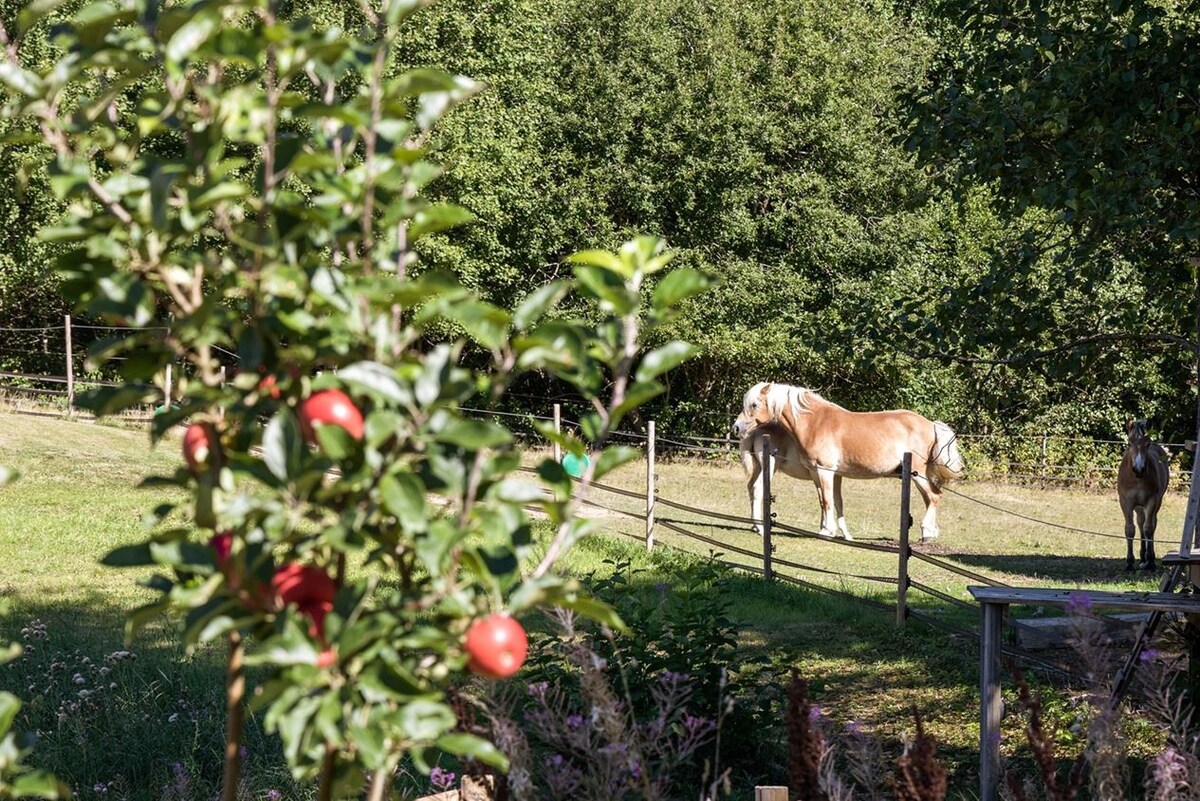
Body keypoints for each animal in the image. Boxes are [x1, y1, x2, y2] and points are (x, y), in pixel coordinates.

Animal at [729, 381, 964, 537]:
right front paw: (828, 529)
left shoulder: (825, 471)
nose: (736, 428)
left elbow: (828, 501)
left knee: (934, 496)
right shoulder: (819, 473)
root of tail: (931, 424)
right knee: (931, 497)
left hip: (918, 474)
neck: (815, 422)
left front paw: (828, 531)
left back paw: (927, 532)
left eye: (754, 404)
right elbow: (826, 501)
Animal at [1118, 419, 1166, 568]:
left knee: (1151, 523)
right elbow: (1130, 529)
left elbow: (1149, 528)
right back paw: (1142, 557)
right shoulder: (1125, 502)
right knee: (1140, 522)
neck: (1137, 479)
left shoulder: (1152, 500)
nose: (1138, 469)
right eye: (1129, 443)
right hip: (1138, 506)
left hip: (1156, 503)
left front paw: (1150, 561)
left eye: (1147, 444)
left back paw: (1148, 558)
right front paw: (1129, 562)